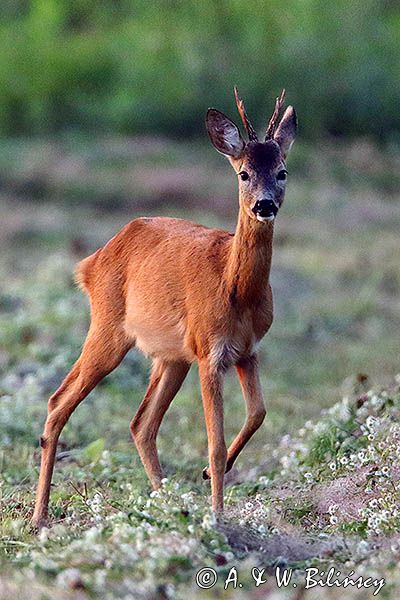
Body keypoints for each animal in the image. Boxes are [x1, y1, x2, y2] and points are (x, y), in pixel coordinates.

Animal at [32, 86, 296, 528]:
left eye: (282, 172)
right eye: (243, 173)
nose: (264, 205)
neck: (236, 289)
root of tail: (91, 262)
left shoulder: (247, 350)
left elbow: (259, 413)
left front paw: (209, 478)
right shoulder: (209, 352)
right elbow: (213, 442)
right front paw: (217, 514)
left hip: (171, 357)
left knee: (141, 423)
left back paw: (169, 504)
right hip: (108, 330)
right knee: (58, 402)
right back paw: (39, 517)